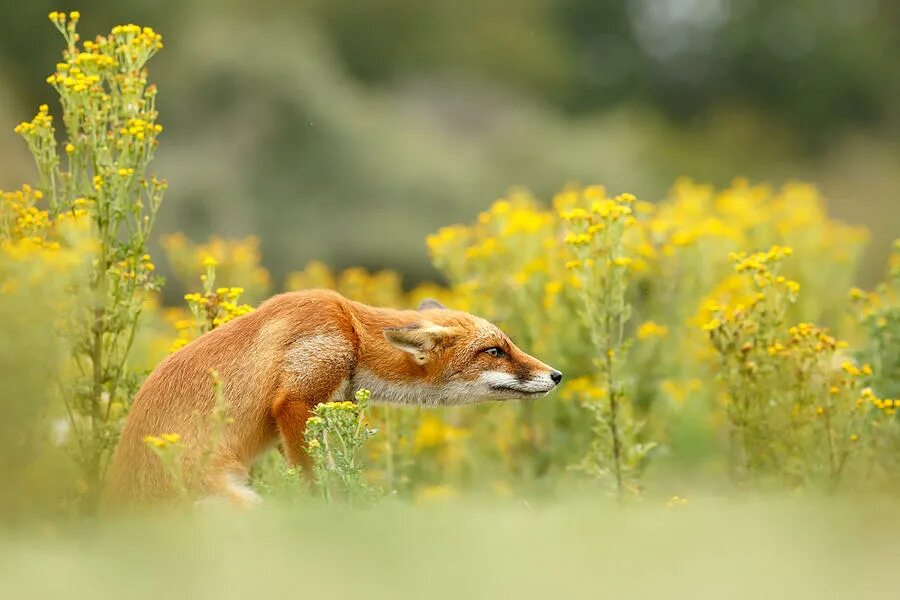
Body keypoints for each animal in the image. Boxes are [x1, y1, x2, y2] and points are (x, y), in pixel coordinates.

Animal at [107, 288, 564, 504]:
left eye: (507, 344)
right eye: (495, 351)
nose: (557, 375)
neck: (353, 332)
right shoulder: (294, 400)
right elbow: (317, 479)